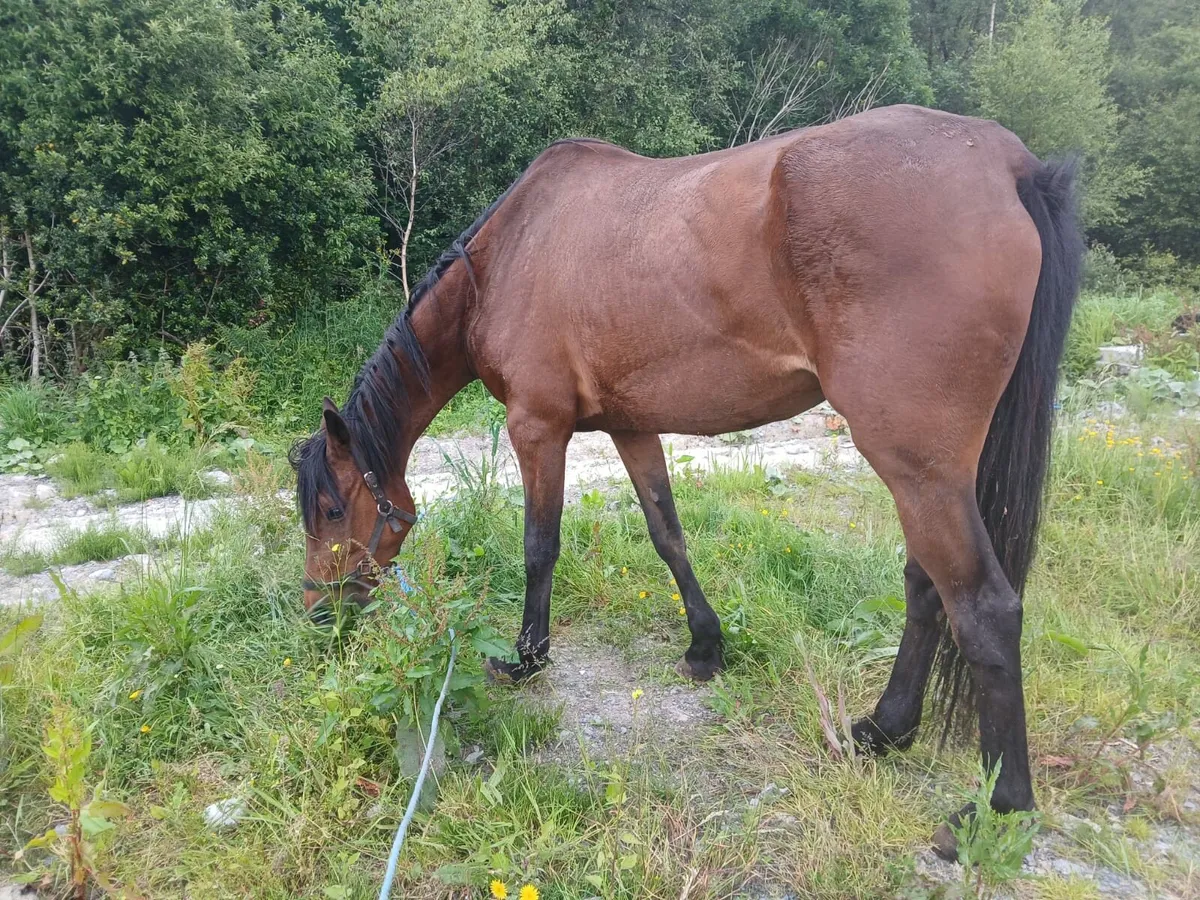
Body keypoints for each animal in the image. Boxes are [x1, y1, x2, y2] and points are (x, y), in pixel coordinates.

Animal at [290, 103, 1083, 858]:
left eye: (329, 508)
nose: (319, 615)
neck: (508, 258)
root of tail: (1007, 162)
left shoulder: (537, 429)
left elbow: (540, 546)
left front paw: (525, 659)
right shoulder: (632, 428)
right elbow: (666, 534)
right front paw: (706, 646)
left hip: (917, 465)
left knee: (982, 606)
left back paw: (998, 809)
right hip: (930, 472)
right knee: (926, 587)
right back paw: (884, 731)